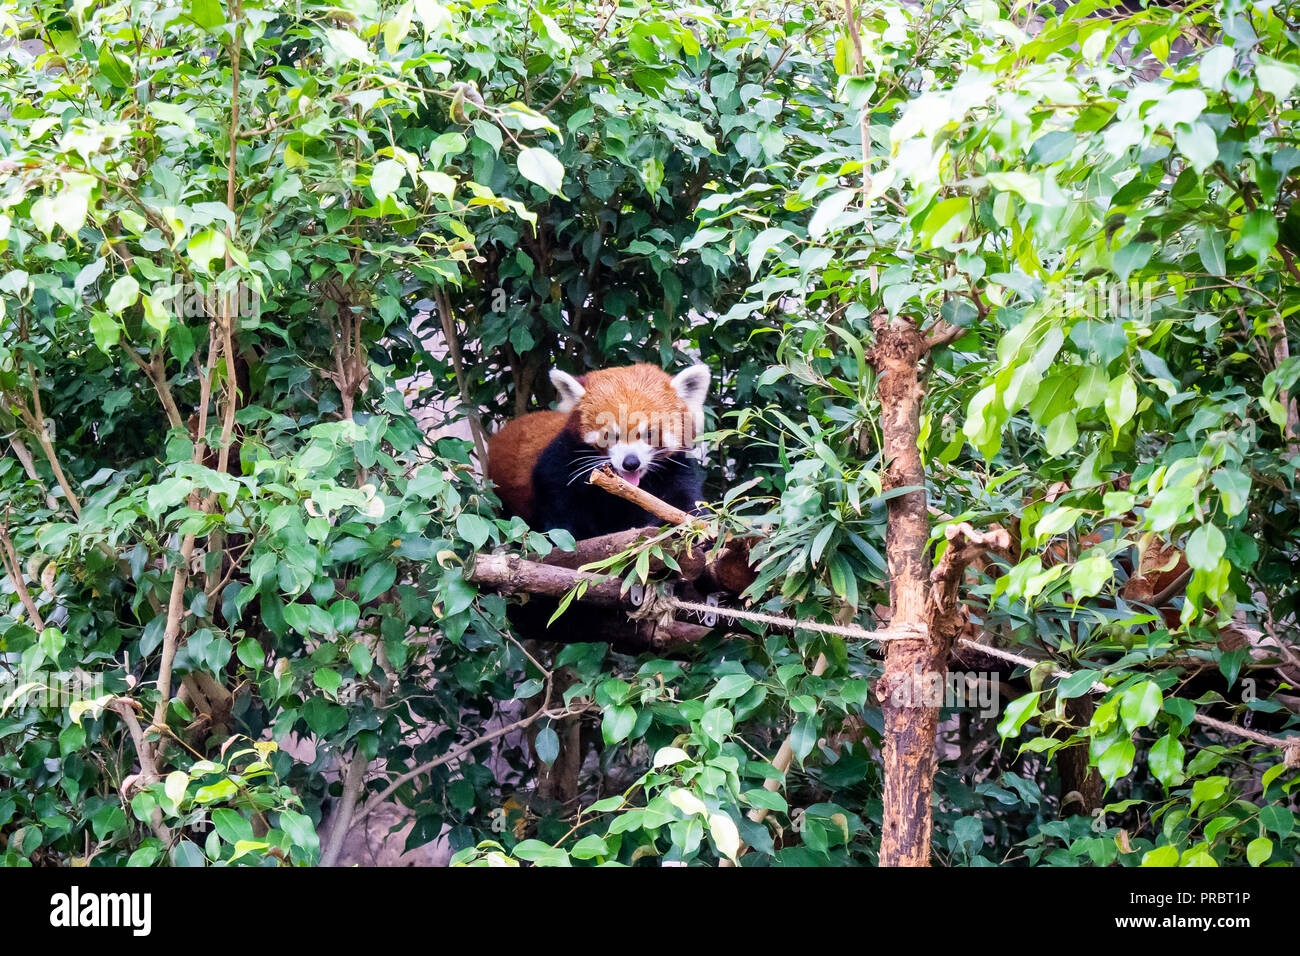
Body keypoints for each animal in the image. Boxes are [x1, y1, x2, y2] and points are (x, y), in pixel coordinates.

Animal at [488, 361, 712, 538]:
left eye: (649, 433)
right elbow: (562, 509)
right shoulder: (559, 465)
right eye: (610, 435)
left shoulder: (673, 469)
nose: (631, 463)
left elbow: (681, 501)